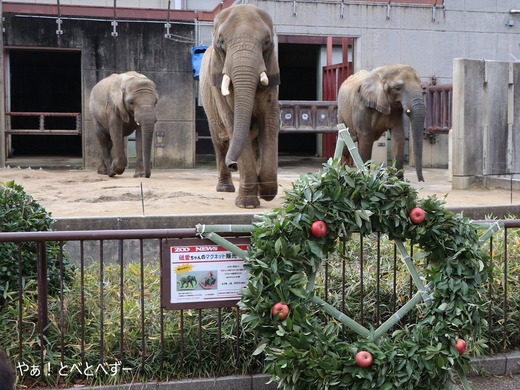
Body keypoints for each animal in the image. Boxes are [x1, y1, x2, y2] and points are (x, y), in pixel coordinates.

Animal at [199, 3, 280, 210]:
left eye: (267, 42)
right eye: (221, 42)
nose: (233, 164)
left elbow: (269, 121)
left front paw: (267, 193)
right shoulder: (218, 86)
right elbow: (232, 122)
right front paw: (247, 205)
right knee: (220, 143)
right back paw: (226, 189)